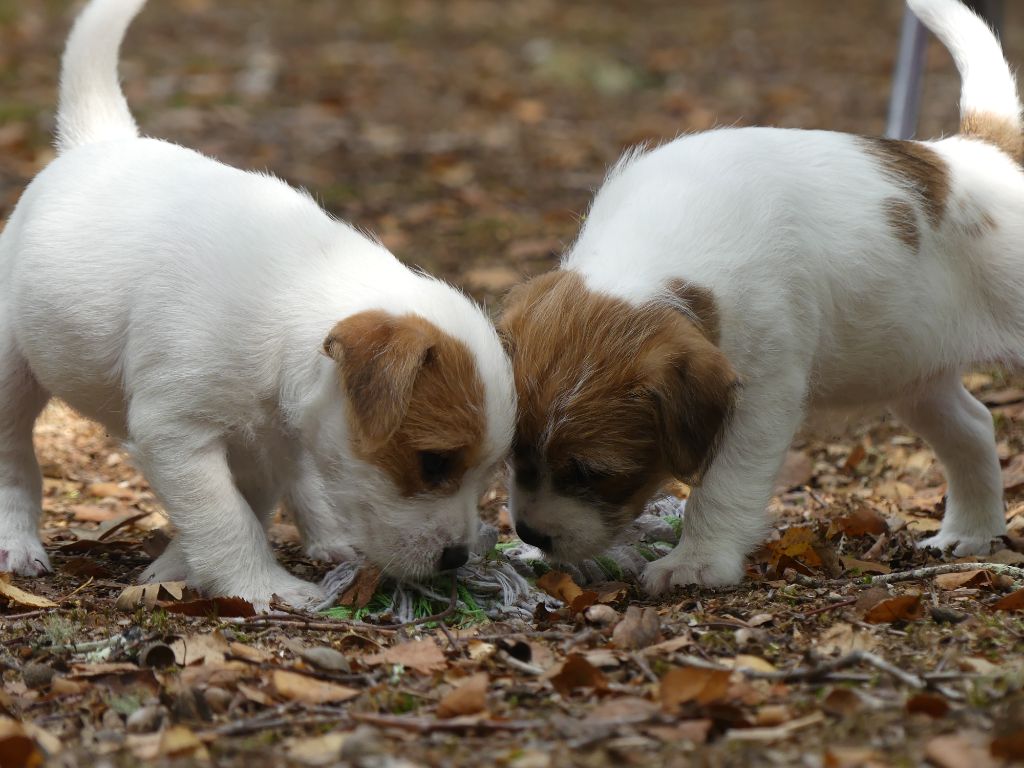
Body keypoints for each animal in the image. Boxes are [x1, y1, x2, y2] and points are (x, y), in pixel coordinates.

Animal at [0, 0, 512, 610]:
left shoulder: (266, 439)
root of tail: (97, 142)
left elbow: (249, 504)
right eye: (433, 462)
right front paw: (262, 587)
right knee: (12, 457)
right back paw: (16, 542)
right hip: (9, 367)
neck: (294, 299)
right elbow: (226, 518)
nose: (458, 558)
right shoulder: (177, 431)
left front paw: (181, 567)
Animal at [495, 0, 1015, 593]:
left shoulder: (762, 397)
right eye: (514, 450)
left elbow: (722, 487)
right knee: (972, 427)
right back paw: (971, 533)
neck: (649, 252)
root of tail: (986, 154)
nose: (532, 534)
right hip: (912, 371)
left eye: (589, 472)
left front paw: (695, 562)